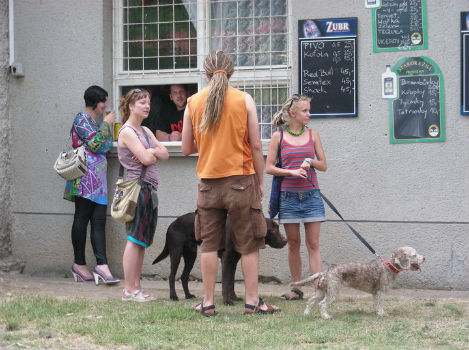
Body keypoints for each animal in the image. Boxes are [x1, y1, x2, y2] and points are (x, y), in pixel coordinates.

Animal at [154, 212, 286, 304]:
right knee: (172, 276)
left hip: (191, 255)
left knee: (184, 276)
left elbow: (231, 282)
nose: (285, 241)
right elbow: (226, 283)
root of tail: (172, 224)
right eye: (273, 229)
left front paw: (234, 297)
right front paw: (227, 301)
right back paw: (173, 296)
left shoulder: (233, 262)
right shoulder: (226, 260)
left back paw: (188, 295)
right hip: (176, 253)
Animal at [290, 247, 426, 318]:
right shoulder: (380, 292)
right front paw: (381, 313)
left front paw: (376, 312)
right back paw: (326, 316)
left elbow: (375, 304)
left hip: (321, 292)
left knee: (311, 301)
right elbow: (380, 304)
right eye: (414, 255)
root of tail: (324, 272)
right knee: (322, 304)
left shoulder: (375, 293)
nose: (424, 258)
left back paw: (306, 314)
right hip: (332, 293)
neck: (389, 266)